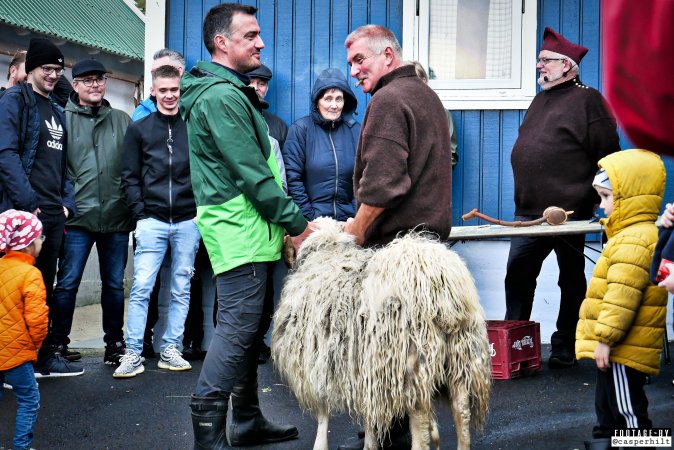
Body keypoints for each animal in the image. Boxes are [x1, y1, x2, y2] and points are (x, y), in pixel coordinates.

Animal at [270, 218, 490, 450]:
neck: (326, 252)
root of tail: (441, 286)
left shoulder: (318, 361)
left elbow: (323, 412)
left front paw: (321, 445)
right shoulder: (366, 371)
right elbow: (370, 413)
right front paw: (370, 443)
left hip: (412, 365)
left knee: (421, 425)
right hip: (460, 358)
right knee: (462, 412)